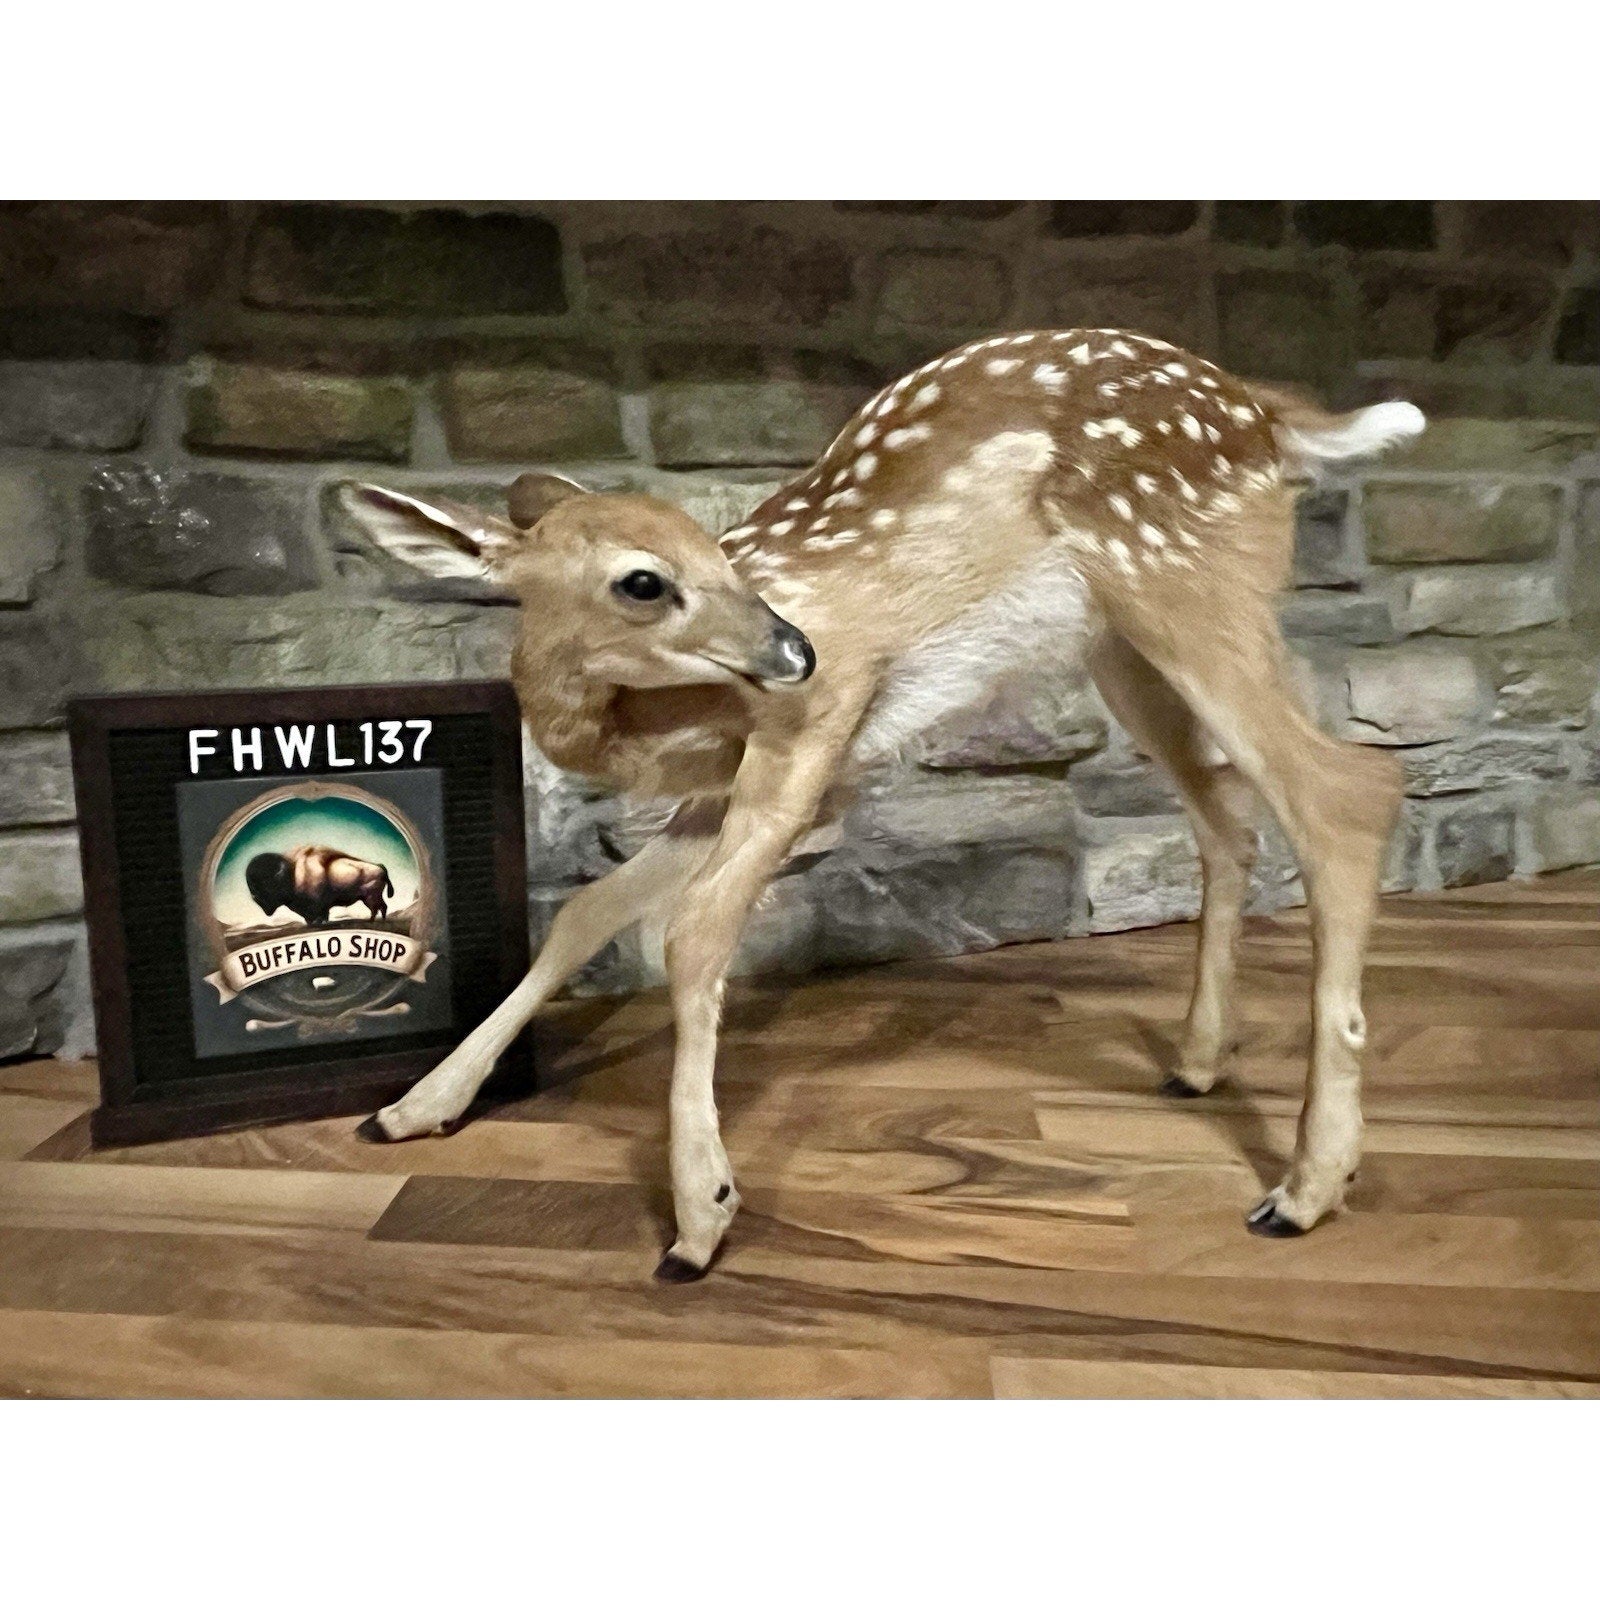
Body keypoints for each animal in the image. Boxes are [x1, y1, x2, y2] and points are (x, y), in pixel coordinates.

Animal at [338, 327, 1424, 1281]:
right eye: (642, 583)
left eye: (720, 559)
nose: (794, 647)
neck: (649, 721)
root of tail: (1266, 416)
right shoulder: (720, 790)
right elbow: (586, 912)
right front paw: (415, 1106)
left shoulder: (811, 733)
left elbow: (694, 934)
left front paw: (700, 1214)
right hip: (1122, 645)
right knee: (1229, 813)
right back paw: (1199, 1065)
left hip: (1186, 586)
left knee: (1347, 793)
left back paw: (1304, 1187)